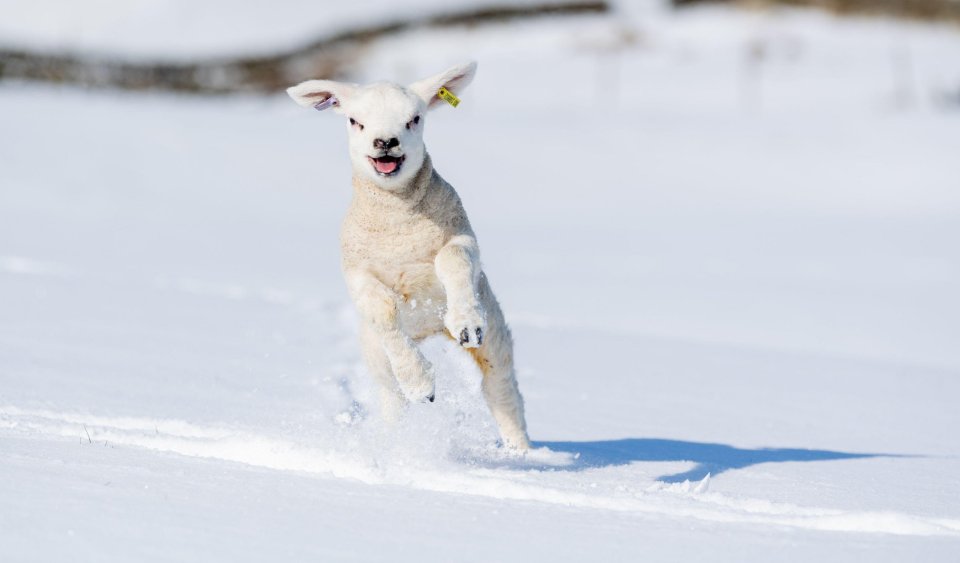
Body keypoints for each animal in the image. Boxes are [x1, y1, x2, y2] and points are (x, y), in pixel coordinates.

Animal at [288, 60, 532, 450]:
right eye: (355, 120)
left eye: (414, 119)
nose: (386, 142)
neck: (398, 226)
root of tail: (427, 330)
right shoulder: (356, 272)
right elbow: (383, 309)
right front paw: (421, 383)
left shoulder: (462, 236)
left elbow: (453, 260)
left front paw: (465, 323)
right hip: (374, 353)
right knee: (392, 397)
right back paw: (394, 436)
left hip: (495, 330)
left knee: (501, 387)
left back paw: (521, 452)